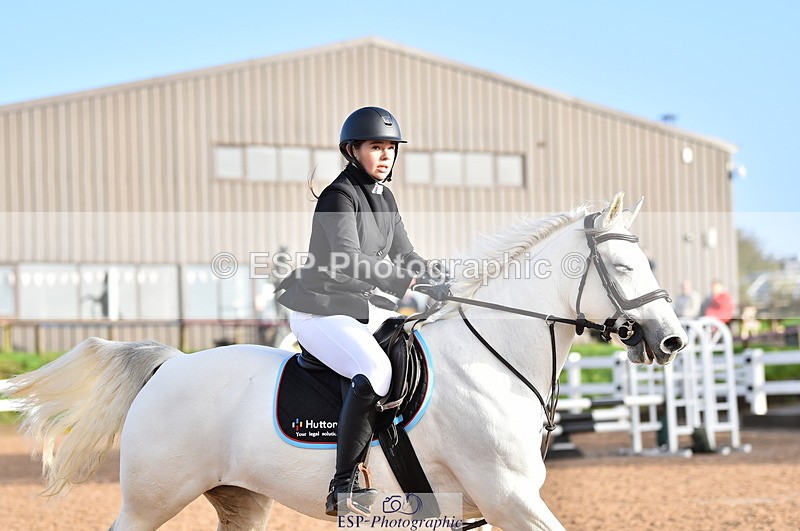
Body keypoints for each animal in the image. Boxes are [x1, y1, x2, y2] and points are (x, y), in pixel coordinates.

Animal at [7, 192, 686, 530]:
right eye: (623, 266)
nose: (672, 341)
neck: (491, 359)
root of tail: (170, 365)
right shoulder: (507, 495)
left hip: (241, 501)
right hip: (151, 499)